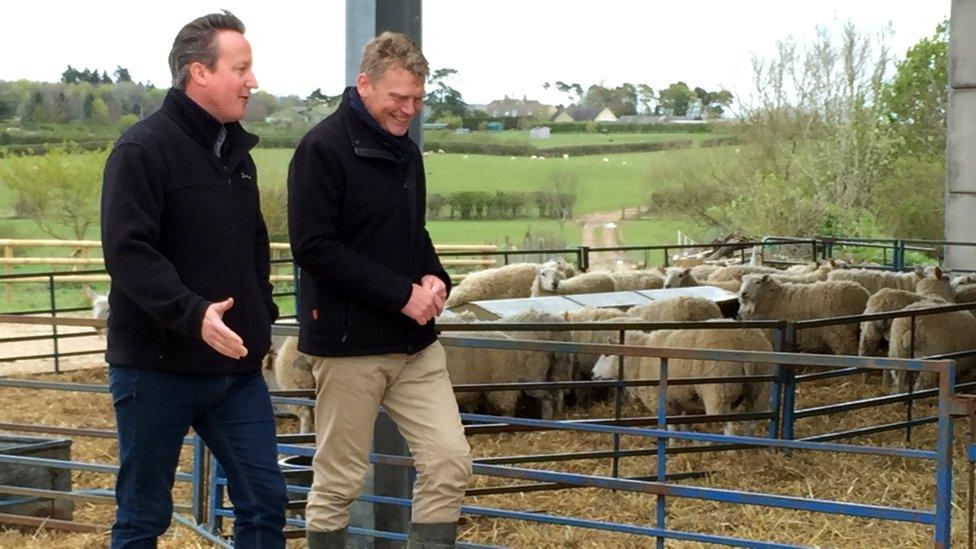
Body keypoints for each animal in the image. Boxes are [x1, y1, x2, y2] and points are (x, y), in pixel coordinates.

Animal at [592, 326, 772, 436]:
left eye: (606, 354)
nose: (592, 375)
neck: (639, 360)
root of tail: (741, 342)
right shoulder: (685, 401)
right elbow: (685, 425)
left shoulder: (662, 400)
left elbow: (670, 428)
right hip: (759, 390)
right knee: (751, 422)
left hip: (719, 391)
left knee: (729, 426)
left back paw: (730, 452)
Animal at [740, 274, 868, 356]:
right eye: (742, 282)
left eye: (757, 282)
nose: (743, 293)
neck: (774, 298)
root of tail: (862, 294)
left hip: (841, 331)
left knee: (847, 351)